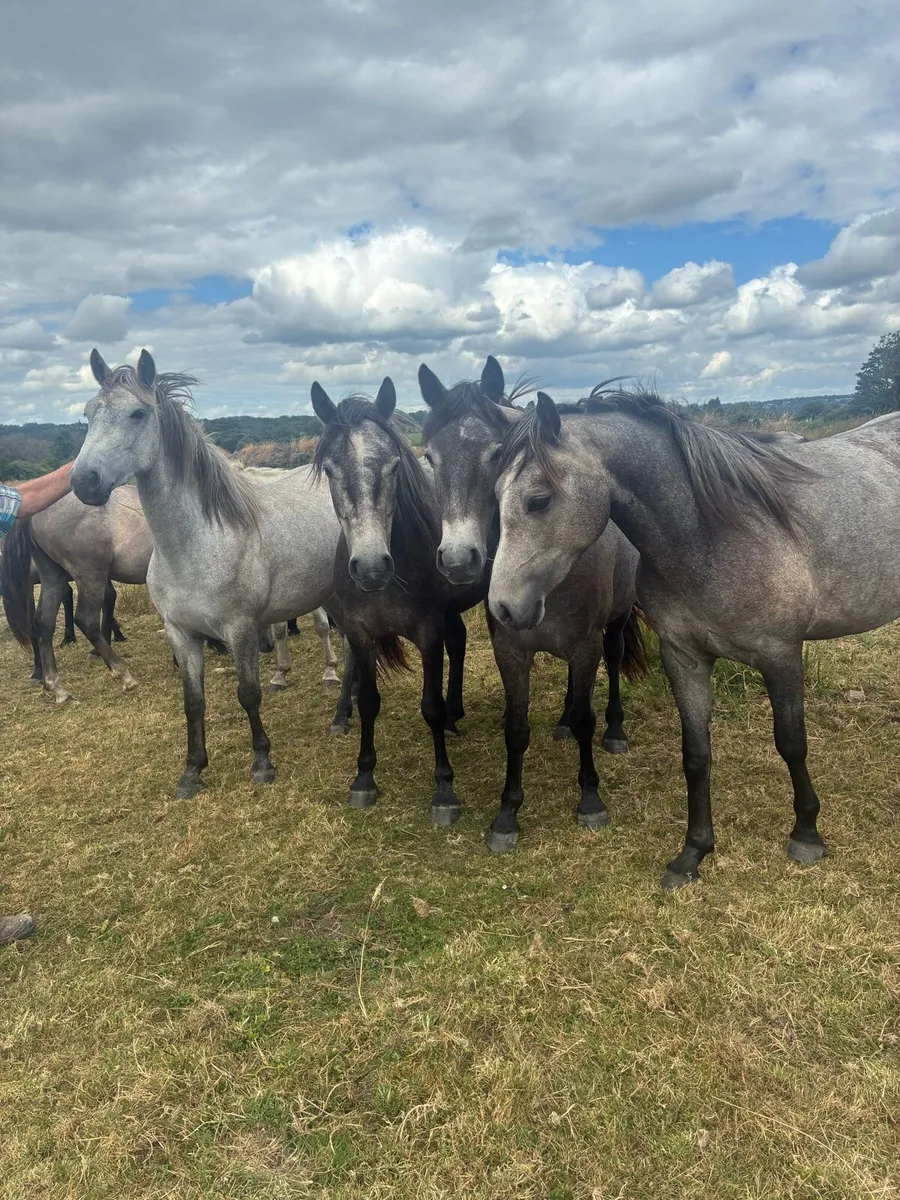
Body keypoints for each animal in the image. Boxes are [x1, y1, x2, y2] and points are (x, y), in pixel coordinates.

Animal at [2, 487, 151, 702]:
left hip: (52, 577)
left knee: (43, 622)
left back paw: (56, 687)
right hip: (90, 574)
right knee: (86, 619)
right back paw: (123, 674)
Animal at [71, 349, 343, 798]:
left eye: (138, 413)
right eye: (89, 413)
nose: (83, 481)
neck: (197, 544)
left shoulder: (241, 628)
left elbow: (248, 693)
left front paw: (262, 763)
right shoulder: (182, 633)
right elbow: (193, 702)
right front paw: (192, 771)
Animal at [310, 378, 482, 826]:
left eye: (392, 467)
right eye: (330, 470)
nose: (371, 567)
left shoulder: (427, 631)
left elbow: (430, 707)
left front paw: (444, 790)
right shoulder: (359, 632)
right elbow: (370, 702)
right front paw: (363, 778)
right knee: (458, 641)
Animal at [418, 357, 647, 851]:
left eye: (495, 453)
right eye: (429, 457)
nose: (458, 559)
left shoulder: (586, 645)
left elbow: (585, 718)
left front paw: (590, 800)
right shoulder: (511, 650)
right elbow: (516, 727)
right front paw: (507, 814)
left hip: (616, 623)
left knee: (614, 662)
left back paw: (615, 730)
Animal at [488, 385, 900, 888]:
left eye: (539, 500)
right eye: (495, 495)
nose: (503, 608)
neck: (712, 534)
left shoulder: (781, 657)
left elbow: (792, 744)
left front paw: (806, 833)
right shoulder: (684, 657)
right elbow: (696, 755)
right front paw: (693, 852)